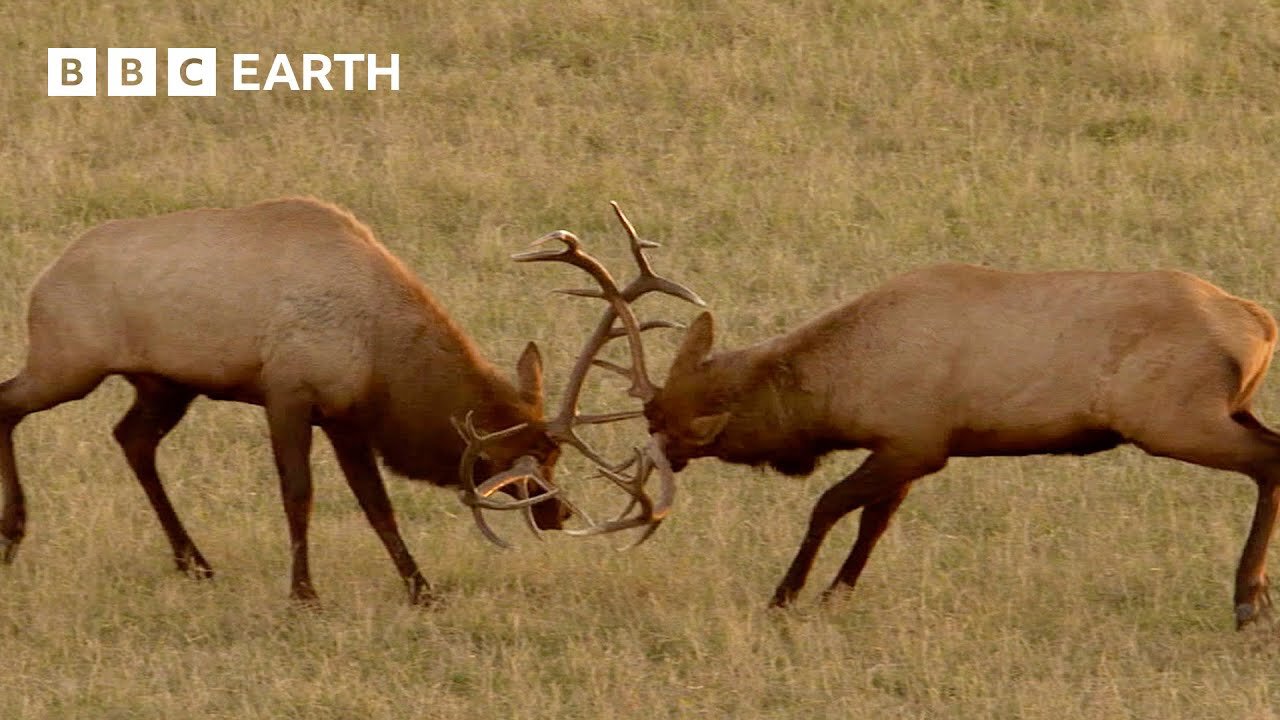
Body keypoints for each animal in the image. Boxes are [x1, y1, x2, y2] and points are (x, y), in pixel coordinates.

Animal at [0, 194, 593, 599]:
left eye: (554, 456)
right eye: (521, 463)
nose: (559, 513)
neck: (381, 353)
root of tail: (43, 279)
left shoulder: (347, 418)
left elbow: (377, 505)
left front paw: (420, 588)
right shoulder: (287, 394)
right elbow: (297, 494)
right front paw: (304, 592)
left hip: (164, 385)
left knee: (131, 439)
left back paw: (194, 561)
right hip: (68, 361)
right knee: (8, 402)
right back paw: (14, 534)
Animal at [535, 220, 1280, 627]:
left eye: (659, 418)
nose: (652, 458)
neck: (840, 389)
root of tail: (1257, 324)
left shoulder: (916, 442)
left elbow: (828, 506)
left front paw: (785, 595)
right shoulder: (909, 450)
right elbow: (873, 522)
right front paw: (835, 595)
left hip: (1172, 418)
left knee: (1268, 462)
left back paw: (1247, 599)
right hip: (1225, 408)